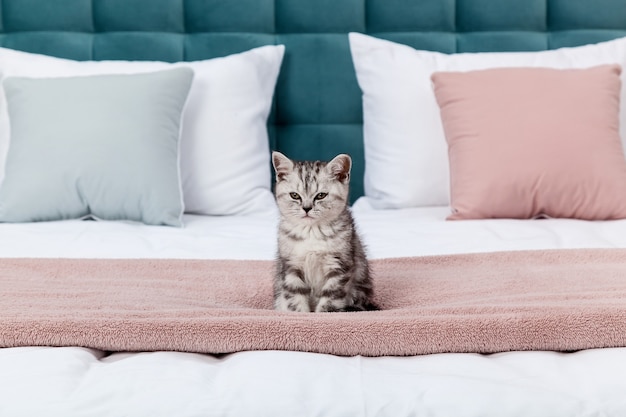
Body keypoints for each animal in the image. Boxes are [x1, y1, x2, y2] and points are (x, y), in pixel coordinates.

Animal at [270, 151, 376, 310]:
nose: (306, 208)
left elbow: (330, 301)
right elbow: (296, 299)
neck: (311, 232)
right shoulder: (290, 265)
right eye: (295, 195)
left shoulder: (339, 266)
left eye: (321, 195)